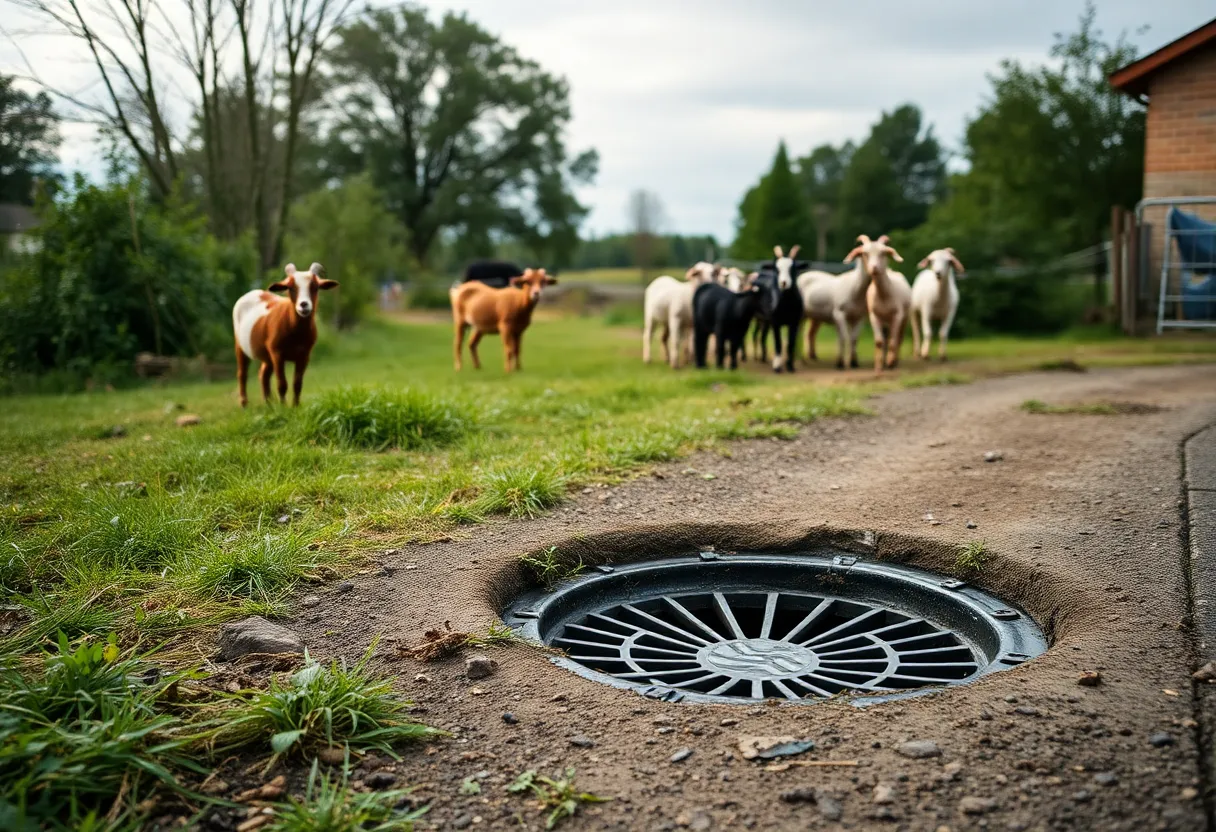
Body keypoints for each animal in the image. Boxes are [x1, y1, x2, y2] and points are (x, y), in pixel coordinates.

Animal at [233, 262, 338, 407]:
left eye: (315, 286)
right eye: (290, 287)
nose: (304, 305)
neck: (295, 332)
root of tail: (254, 292)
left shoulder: (304, 355)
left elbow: (297, 384)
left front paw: (295, 406)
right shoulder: (277, 353)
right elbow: (282, 384)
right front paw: (284, 408)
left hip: (267, 356)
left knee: (263, 374)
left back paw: (269, 405)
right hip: (240, 345)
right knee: (242, 374)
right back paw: (244, 404)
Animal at [862, 235, 910, 371]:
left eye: (882, 253)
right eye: (865, 254)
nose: (874, 268)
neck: (883, 295)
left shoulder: (897, 316)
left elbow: (893, 341)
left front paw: (890, 362)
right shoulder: (874, 316)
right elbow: (879, 342)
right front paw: (879, 366)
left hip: (904, 318)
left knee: (898, 338)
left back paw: (894, 361)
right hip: (885, 322)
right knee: (885, 338)